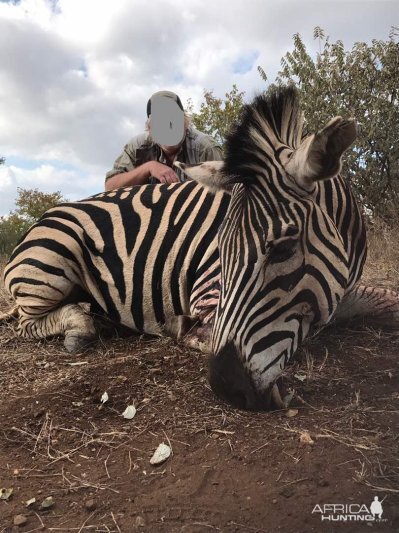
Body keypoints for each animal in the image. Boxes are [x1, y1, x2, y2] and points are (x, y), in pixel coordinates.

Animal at [1, 88, 398, 412]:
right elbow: (209, 333)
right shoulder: (208, 291)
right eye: (219, 248)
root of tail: (42, 219)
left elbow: (385, 302)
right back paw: (80, 327)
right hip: (51, 260)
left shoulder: (343, 289)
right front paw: (183, 328)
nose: (229, 390)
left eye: (283, 249)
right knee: (27, 322)